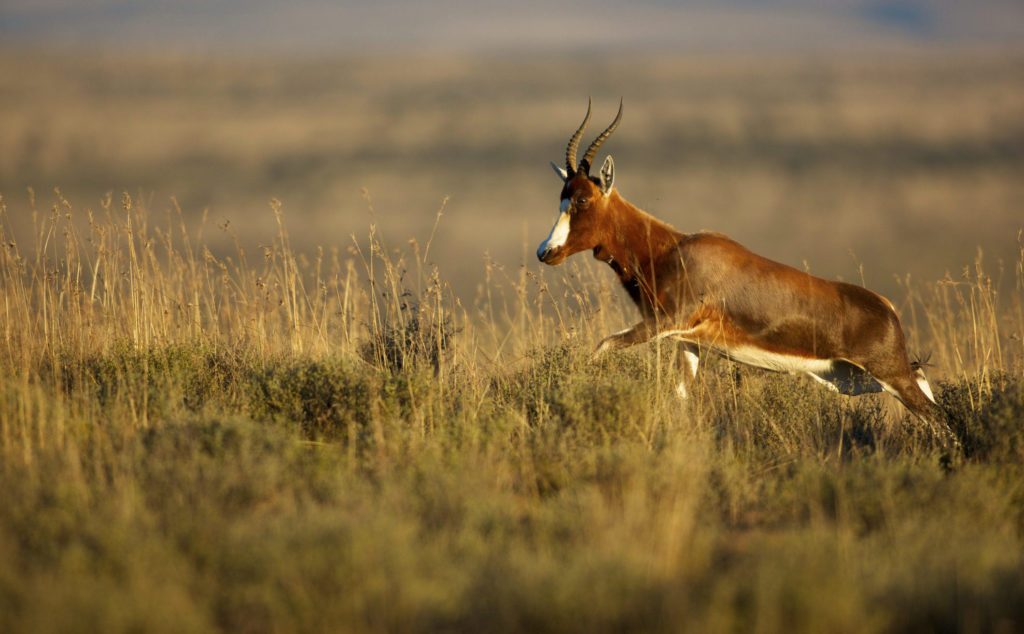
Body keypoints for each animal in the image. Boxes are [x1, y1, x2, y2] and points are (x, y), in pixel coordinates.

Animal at [540, 100, 954, 446]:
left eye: (582, 200)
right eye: (561, 197)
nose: (546, 252)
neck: (672, 248)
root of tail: (888, 309)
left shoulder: (667, 321)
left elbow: (601, 347)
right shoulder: (688, 342)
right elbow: (680, 396)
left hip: (887, 374)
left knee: (938, 417)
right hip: (852, 379)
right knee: (926, 391)